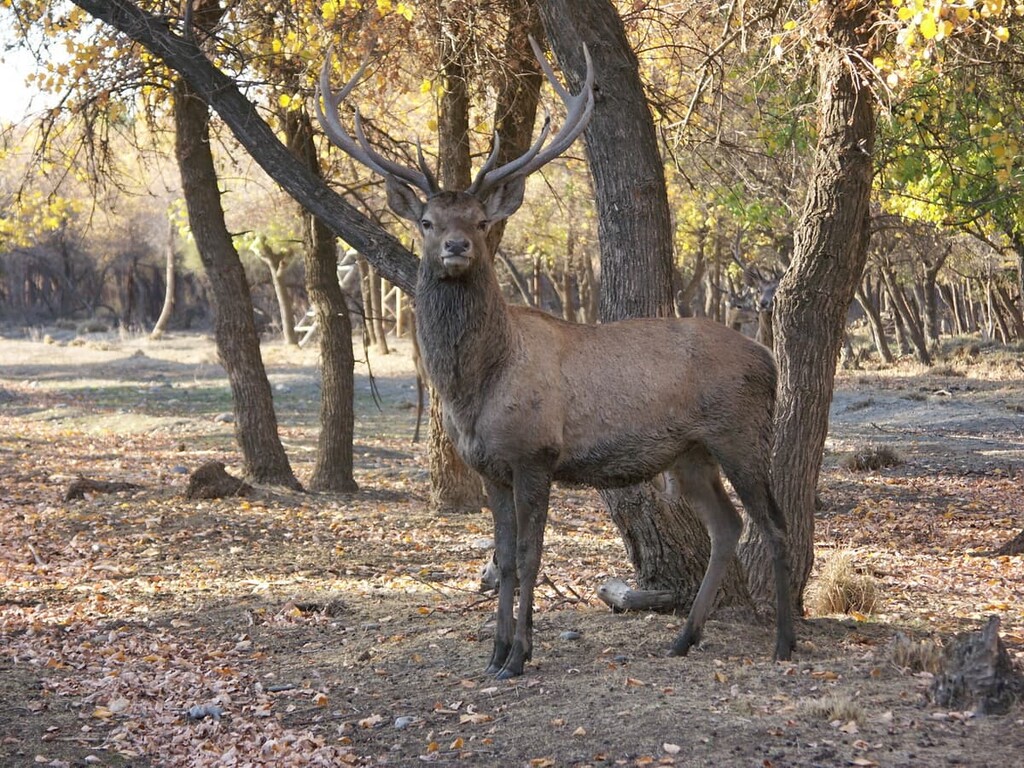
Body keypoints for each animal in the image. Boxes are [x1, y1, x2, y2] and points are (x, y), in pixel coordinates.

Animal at [316, 38, 795, 679]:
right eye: (427, 221)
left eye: (481, 220)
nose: (456, 246)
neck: (476, 388)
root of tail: (768, 360)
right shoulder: (489, 466)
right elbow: (503, 559)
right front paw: (494, 654)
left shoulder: (535, 453)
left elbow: (531, 556)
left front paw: (520, 655)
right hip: (690, 453)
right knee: (728, 526)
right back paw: (683, 637)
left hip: (740, 433)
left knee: (773, 524)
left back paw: (784, 642)